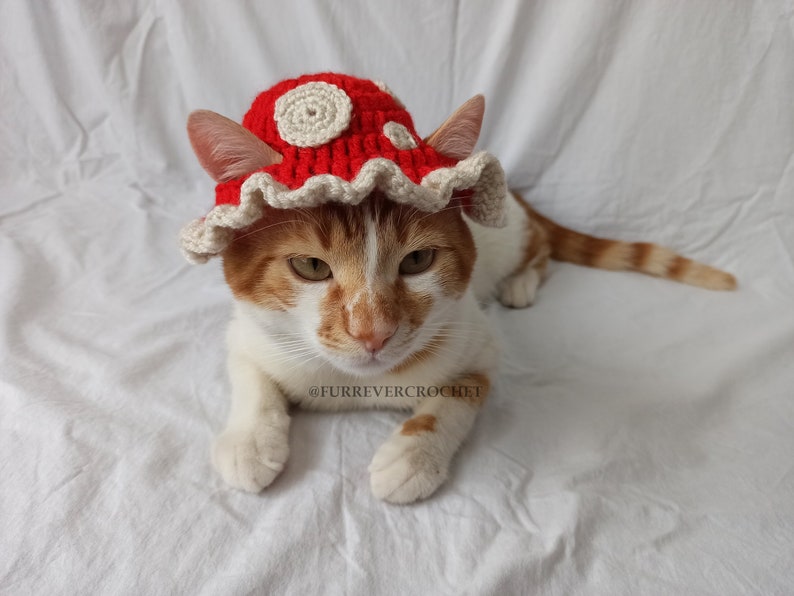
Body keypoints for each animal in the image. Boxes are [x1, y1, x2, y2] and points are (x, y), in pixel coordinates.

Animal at [183, 91, 732, 506]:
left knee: (543, 250)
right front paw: (248, 442)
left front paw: (411, 459)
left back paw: (520, 283)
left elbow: (457, 396)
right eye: (311, 267)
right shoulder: (247, 334)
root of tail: (519, 195)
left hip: (512, 239)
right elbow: (252, 380)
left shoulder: (479, 343)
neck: (355, 385)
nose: (373, 332)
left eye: (418, 261)